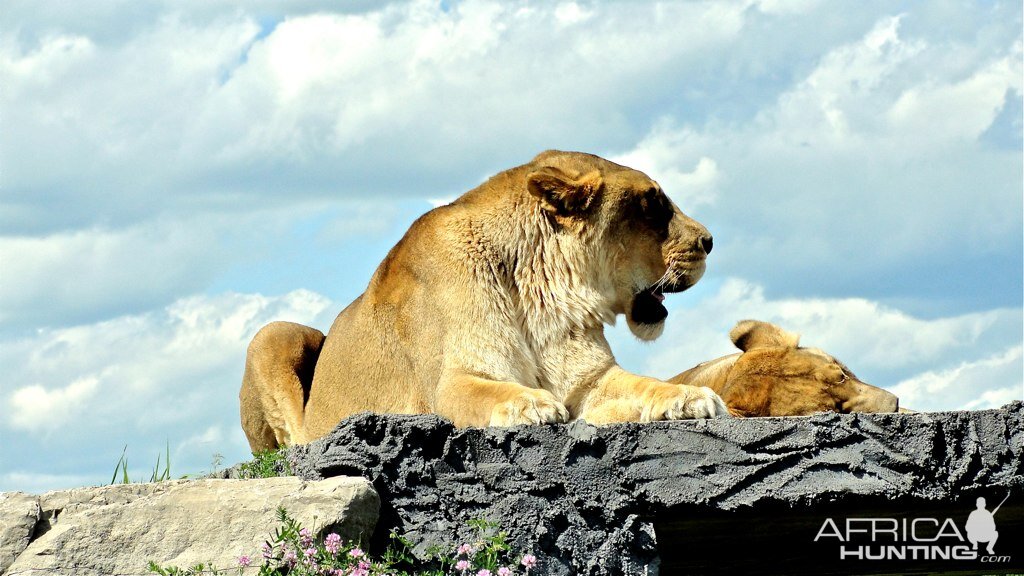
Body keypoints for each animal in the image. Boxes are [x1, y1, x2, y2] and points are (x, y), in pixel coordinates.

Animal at [241, 148, 729, 448]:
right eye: (653, 205)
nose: (709, 241)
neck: (546, 293)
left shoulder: (591, 380)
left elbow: (647, 384)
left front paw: (689, 397)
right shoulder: (450, 384)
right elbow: (491, 392)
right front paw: (532, 403)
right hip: (273, 334)